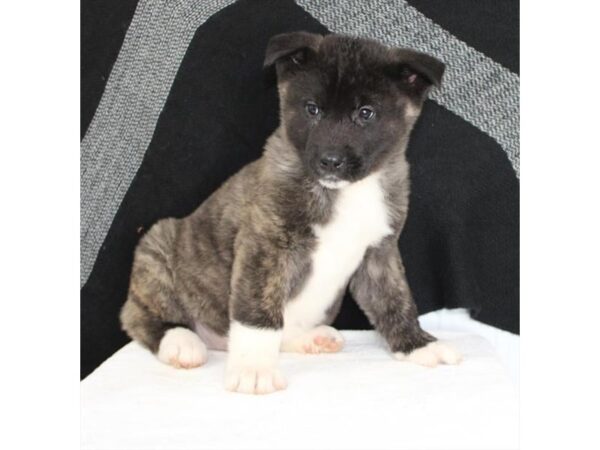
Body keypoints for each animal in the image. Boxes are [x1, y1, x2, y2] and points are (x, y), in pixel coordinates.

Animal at [119, 31, 462, 394]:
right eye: (312, 109)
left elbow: (395, 301)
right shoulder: (266, 247)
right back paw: (180, 342)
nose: (330, 161)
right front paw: (254, 369)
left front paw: (418, 345)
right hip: (156, 245)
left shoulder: (379, 254)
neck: (344, 192)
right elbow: (258, 315)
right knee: (138, 316)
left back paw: (310, 338)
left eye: (366, 113)